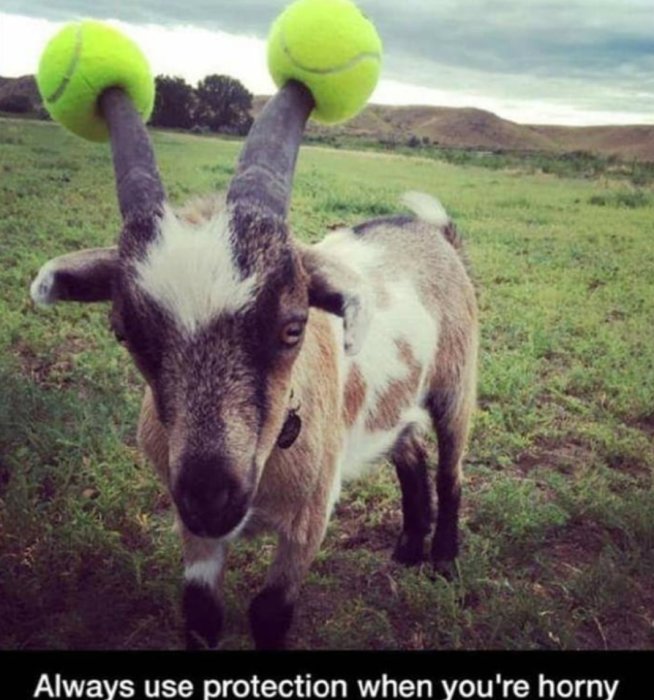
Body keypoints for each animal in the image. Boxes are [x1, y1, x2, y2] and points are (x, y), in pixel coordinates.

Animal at [29, 83, 476, 652]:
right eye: (125, 333)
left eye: (293, 327)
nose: (211, 497)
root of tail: (434, 232)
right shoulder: (192, 527)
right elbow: (200, 612)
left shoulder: (309, 517)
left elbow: (269, 611)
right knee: (410, 452)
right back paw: (408, 548)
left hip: (457, 383)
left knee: (450, 469)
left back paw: (442, 560)